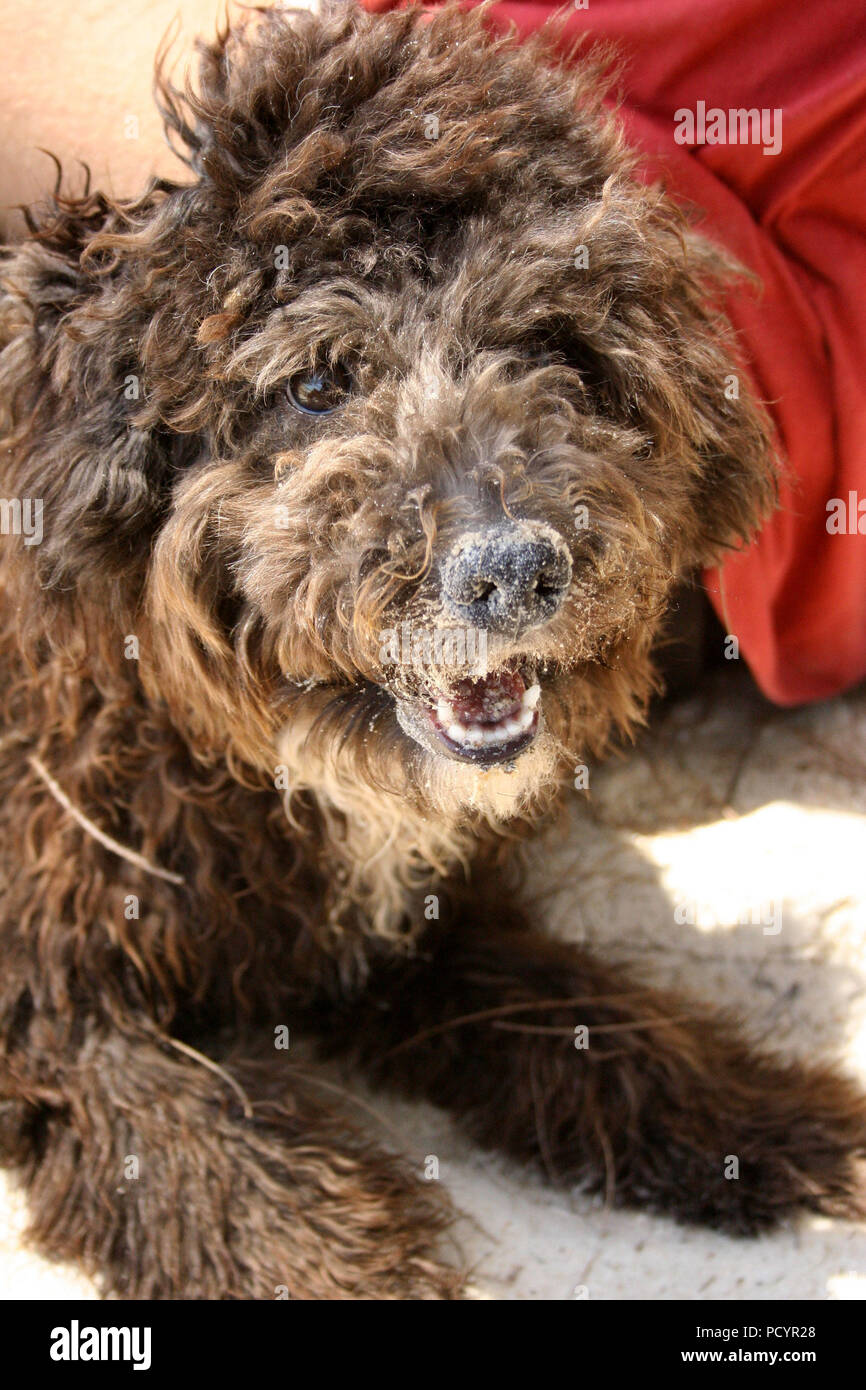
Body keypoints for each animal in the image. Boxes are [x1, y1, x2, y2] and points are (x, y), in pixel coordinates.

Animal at [0, 2, 861, 1301]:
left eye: (550, 344)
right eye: (315, 382)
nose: (512, 570)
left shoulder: (420, 926)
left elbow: (578, 1017)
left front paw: (753, 1120)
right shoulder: (57, 1009)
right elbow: (215, 1164)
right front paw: (347, 1274)